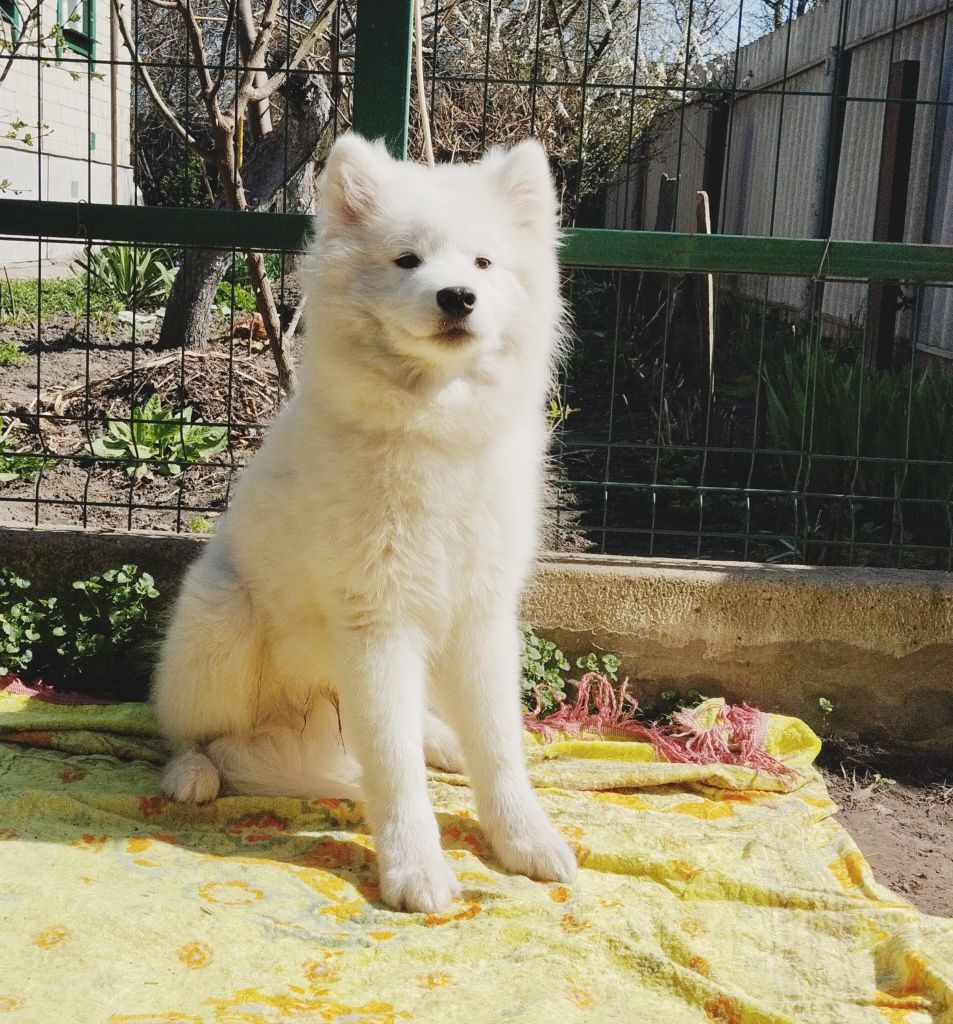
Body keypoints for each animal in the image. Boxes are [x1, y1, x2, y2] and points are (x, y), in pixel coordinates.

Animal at [152, 134, 577, 913]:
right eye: (407, 260)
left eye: (482, 262)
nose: (457, 296)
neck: (433, 427)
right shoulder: (377, 622)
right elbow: (392, 766)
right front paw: (416, 871)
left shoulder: (479, 616)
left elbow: (499, 747)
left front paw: (526, 840)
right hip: (221, 616)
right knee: (189, 733)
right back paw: (192, 773)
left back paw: (441, 739)